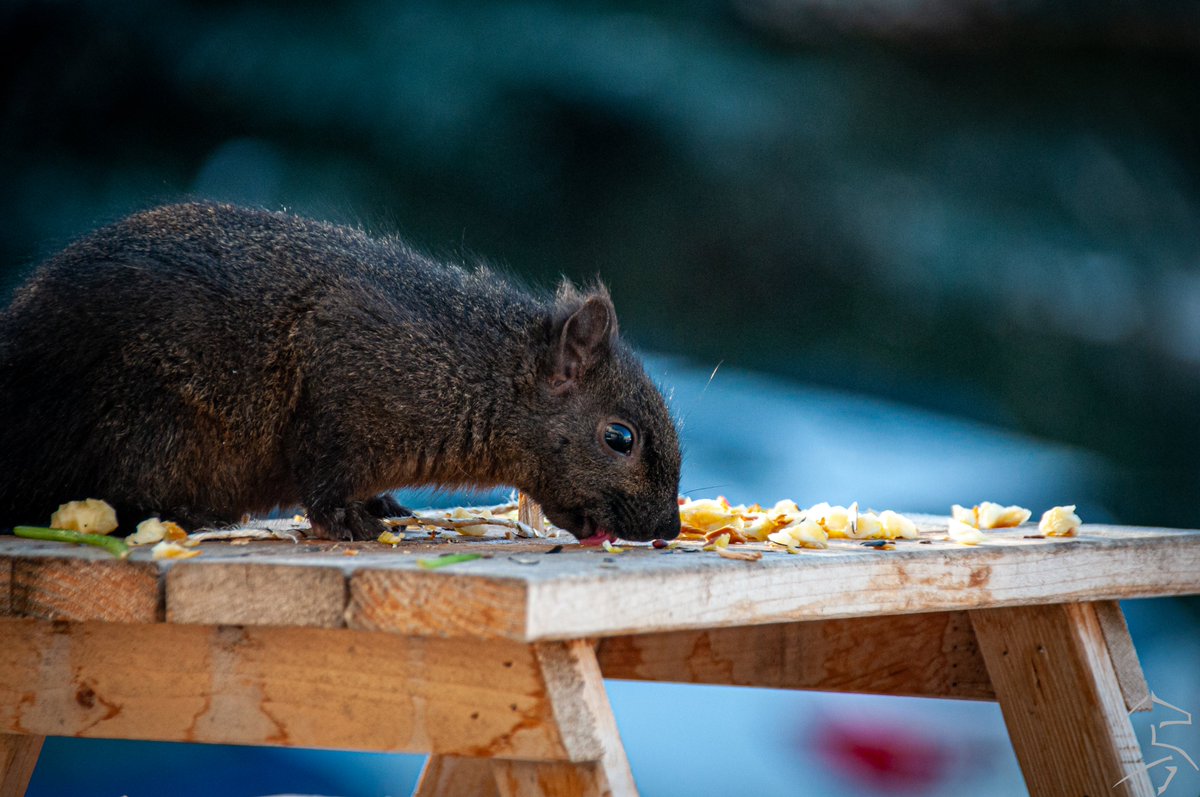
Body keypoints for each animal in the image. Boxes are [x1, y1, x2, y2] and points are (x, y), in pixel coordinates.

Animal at [0, 202, 682, 543]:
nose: (669, 529)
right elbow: (324, 475)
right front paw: (348, 520)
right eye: (619, 438)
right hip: (141, 426)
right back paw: (191, 517)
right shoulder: (345, 377)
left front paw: (384, 505)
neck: (476, 372)